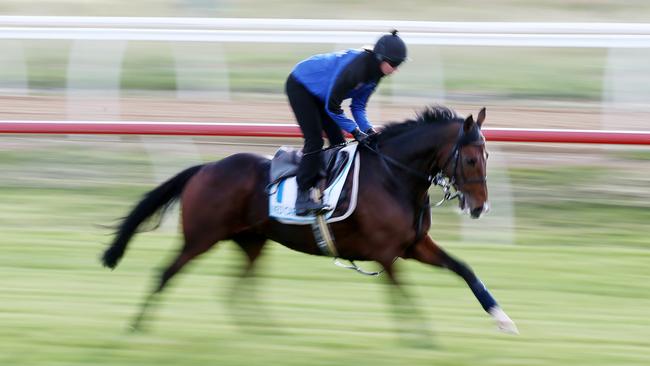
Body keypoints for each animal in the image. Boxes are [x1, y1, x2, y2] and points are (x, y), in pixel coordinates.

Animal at [100, 104, 516, 334]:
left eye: (487, 156)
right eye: (470, 159)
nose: (480, 208)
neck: (394, 176)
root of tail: (205, 167)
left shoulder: (415, 245)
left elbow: (466, 271)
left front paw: (503, 318)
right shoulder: (385, 254)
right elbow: (404, 295)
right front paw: (422, 337)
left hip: (252, 241)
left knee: (235, 289)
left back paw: (268, 332)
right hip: (201, 237)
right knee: (165, 273)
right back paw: (136, 326)